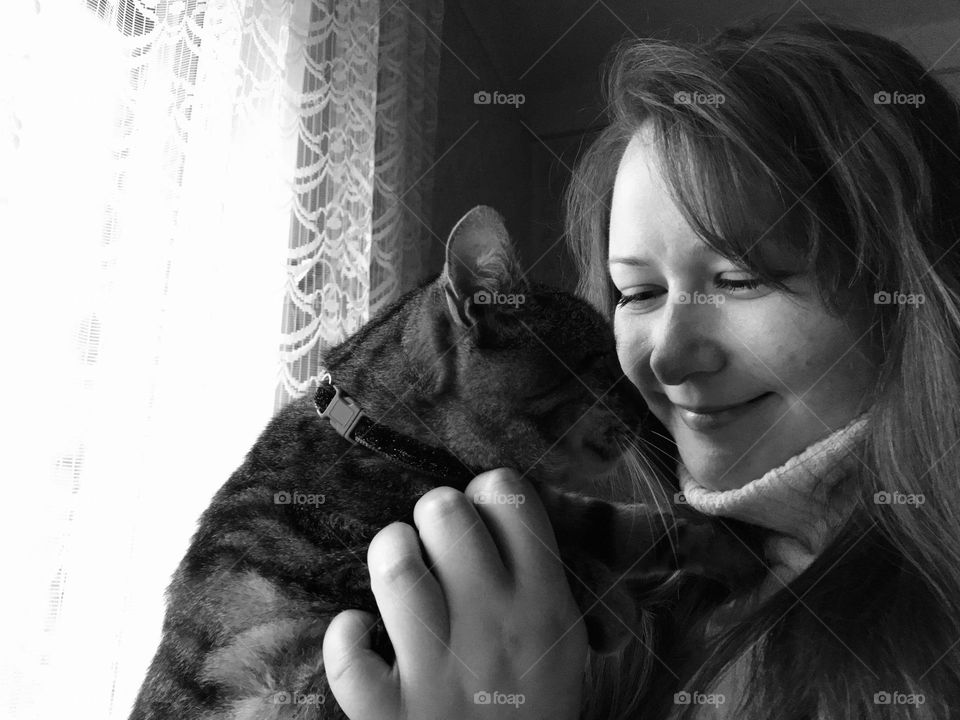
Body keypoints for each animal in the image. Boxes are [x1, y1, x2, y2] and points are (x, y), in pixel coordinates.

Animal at [129, 205, 764, 716]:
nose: (650, 404)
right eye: (605, 365)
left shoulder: (551, 504)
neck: (385, 438)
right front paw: (622, 604)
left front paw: (732, 549)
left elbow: (634, 526)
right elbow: (593, 551)